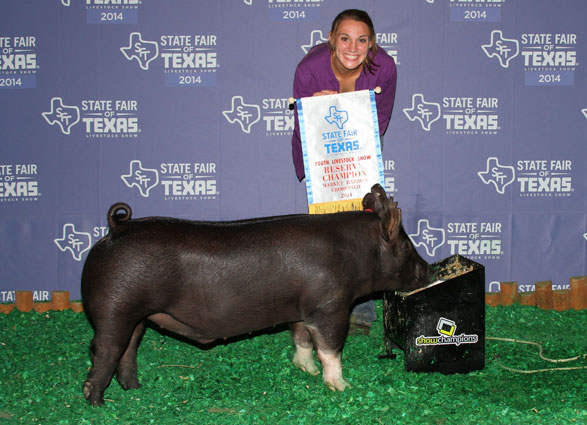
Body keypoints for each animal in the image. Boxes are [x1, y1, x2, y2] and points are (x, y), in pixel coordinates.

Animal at [81, 182, 428, 404]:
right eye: (406, 248)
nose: (428, 269)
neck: (355, 253)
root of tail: (115, 229)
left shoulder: (299, 307)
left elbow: (301, 338)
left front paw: (307, 370)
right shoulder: (330, 306)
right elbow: (331, 348)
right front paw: (343, 387)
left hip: (136, 316)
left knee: (129, 348)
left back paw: (134, 389)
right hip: (114, 307)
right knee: (105, 349)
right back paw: (98, 402)